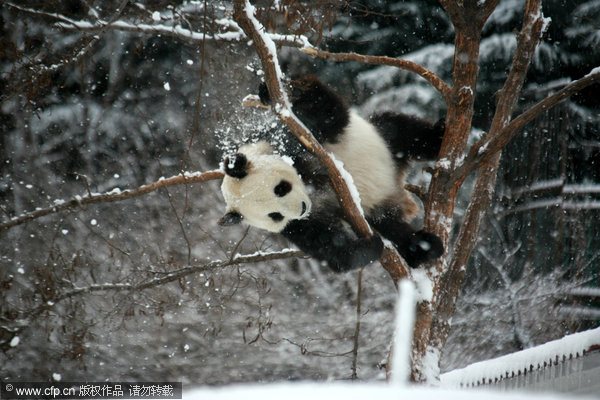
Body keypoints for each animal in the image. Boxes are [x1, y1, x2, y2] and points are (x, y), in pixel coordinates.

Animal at [218, 76, 442, 272]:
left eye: (280, 188)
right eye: (275, 215)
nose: (302, 208)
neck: (309, 183)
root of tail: (397, 192)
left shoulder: (285, 137)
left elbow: (326, 110)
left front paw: (273, 92)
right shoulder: (297, 225)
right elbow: (328, 246)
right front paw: (370, 246)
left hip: (384, 142)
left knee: (401, 129)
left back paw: (438, 136)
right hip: (378, 213)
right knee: (392, 228)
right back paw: (422, 247)